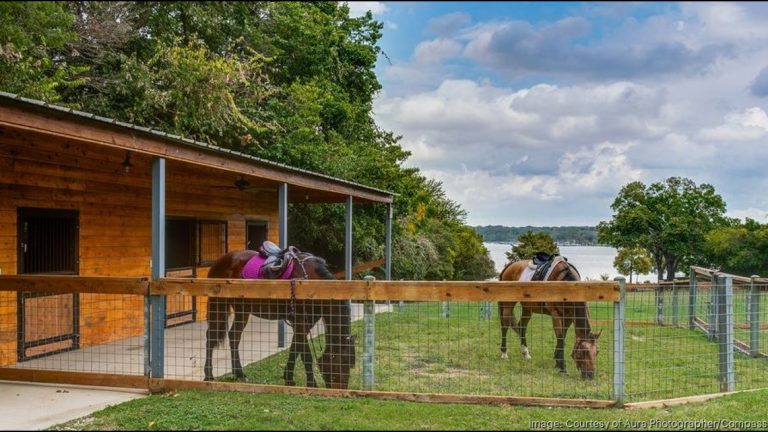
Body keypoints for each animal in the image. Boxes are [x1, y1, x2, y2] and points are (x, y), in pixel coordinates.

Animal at [201, 248, 356, 390]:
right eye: (341, 362)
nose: (341, 389)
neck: (313, 283)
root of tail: (220, 261)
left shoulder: (306, 323)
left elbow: (295, 348)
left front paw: (289, 377)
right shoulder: (300, 321)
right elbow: (305, 355)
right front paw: (312, 384)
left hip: (242, 310)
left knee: (234, 336)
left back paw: (239, 374)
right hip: (218, 305)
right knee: (211, 336)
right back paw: (209, 375)